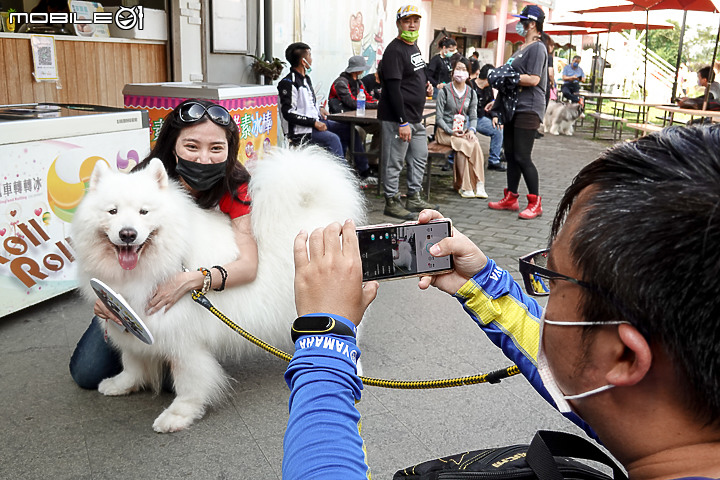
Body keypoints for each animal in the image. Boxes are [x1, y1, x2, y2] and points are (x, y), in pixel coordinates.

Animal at [70, 146, 366, 432]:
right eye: (113, 211)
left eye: (144, 212)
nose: (127, 234)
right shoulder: (131, 324)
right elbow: (131, 361)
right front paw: (121, 384)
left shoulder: (184, 340)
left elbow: (188, 382)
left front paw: (178, 416)